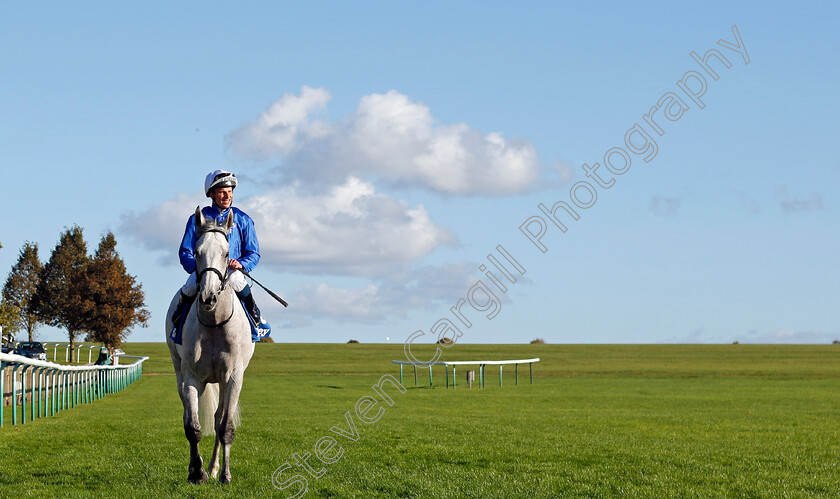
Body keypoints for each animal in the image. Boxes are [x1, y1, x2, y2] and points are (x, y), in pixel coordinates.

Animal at [165, 207, 254, 484]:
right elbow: (192, 428)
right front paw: (197, 472)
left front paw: (224, 474)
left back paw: (215, 467)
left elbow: (225, 427)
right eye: (197, 252)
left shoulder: (233, 378)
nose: (208, 297)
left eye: (227, 253)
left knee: (217, 420)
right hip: (179, 372)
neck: (215, 324)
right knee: (188, 414)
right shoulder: (192, 378)